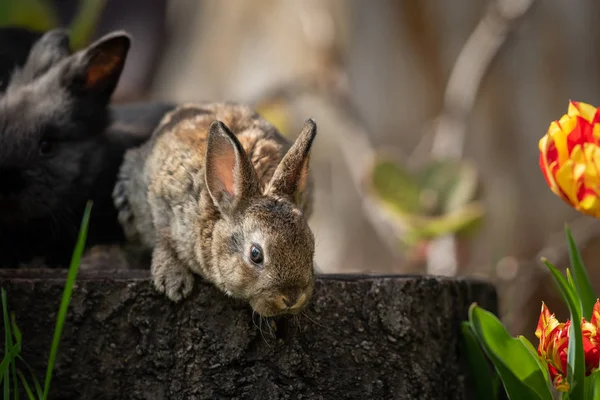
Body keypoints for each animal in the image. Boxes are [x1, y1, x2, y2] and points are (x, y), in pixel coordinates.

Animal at [113, 102, 318, 316]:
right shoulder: (162, 204)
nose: (292, 298)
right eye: (256, 255)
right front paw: (173, 283)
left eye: (311, 245)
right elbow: (164, 238)